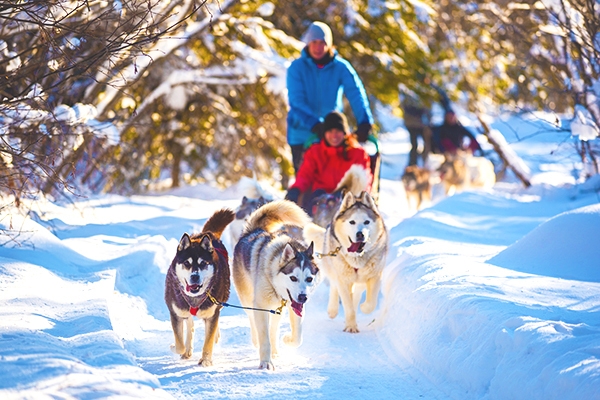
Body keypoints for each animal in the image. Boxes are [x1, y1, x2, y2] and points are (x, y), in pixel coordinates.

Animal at [166, 208, 237, 368]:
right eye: (186, 263)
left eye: (203, 263)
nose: (195, 277)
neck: (194, 298)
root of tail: (208, 234)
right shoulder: (176, 313)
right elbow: (179, 344)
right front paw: (177, 347)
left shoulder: (212, 314)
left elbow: (208, 341)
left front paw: (206, 360)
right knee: (189, 323)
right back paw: (187, 349)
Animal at [232, 202, 322, 370]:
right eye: (293, 278)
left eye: (309, 278)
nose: (303, 297)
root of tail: (253, 230)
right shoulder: (260, 306)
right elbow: (264, 338)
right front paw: (265, 362)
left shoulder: (294, 307)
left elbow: (297, 337)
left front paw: (287, 340)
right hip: (248, 299)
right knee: (252, 320)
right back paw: (257, 341)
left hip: (277, 311)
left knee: (273, 329)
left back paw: (275, 350)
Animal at [304, 191, 390, 332]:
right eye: (352, 222)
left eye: (367, 222)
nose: (360, 234)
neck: (357, 258)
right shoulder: (343, 279)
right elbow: (347, 305)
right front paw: (351, 327)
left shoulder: (374, 276)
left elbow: (370, 304)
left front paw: (363, 308)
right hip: (333, 270)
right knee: (334, 286)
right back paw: (332, 310)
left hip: (360, 280)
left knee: (356, 294)